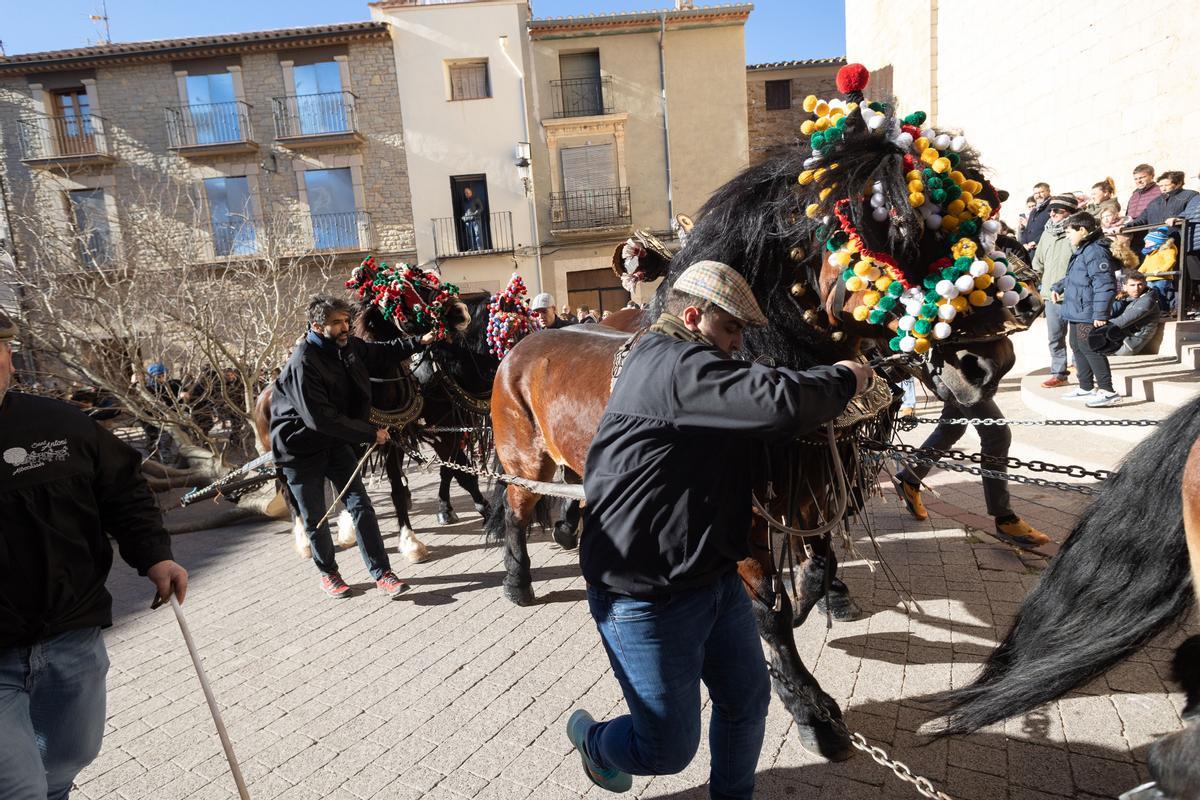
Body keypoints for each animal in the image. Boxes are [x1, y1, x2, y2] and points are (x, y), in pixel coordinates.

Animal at [484, 65, 1041, 762]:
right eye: (891, 225)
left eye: (985, 219)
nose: (987, 362)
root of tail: (522, 342)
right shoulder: (740, 514)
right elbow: (768, 611)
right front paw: (810, 708)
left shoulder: (812, 488)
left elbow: (818, 565)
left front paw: (817, 599)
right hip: (523, 457)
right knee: (515, 507)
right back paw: (518, 582)